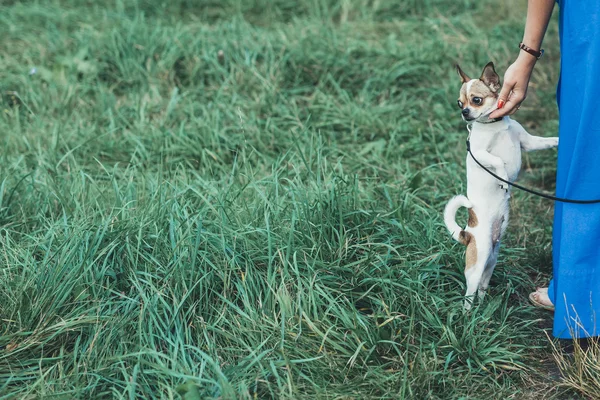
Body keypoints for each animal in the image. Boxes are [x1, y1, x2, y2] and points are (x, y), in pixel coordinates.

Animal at [442, 61, 560, 310]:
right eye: (459, 103)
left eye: (476, 100)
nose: (464, 113)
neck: (494, 126)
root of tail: (467, 234)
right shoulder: (480, 153)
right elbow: (497, 161)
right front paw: (504, 178)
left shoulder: (527, 142)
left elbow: (544, 142)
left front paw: (558, 140)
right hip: (478, 262)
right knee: (469, 294)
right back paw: (468, 315)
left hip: (491, 261)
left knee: (482, 288)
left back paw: (484, 308)